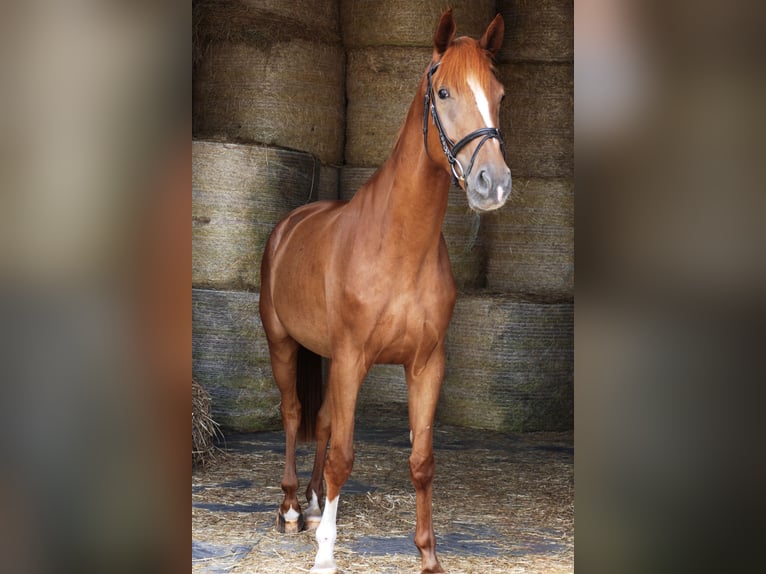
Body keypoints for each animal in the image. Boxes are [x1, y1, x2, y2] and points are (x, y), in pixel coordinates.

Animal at [260, 10, 512, 574]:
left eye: (500, 93)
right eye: (442, 92)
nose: (493, 183)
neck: (399, 247)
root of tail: (289, 225)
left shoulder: (425, 364)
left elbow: (421, 461)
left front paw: (428, 556)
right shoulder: (354, 358)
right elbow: (344, 456)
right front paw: (325, 555)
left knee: (322, 422)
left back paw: (313, 504)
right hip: (283, 344)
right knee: (292, 415)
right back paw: (292, 508)